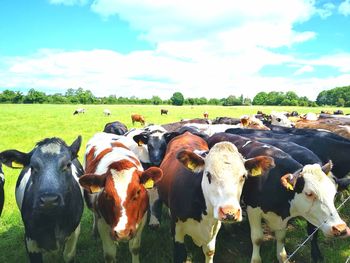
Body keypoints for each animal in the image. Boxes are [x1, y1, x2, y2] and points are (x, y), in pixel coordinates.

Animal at [79, 134, 163, 263]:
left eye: (137, 192)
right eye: (107, 194)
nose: (122, 232)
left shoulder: (141, 220)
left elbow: (135, 248)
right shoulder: (103, 224)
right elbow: (109, 254)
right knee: (94, 214)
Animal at [156, 132, 274, 263]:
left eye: (243, 176)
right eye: (208, 174)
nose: (229, 212)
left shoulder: (214, 229)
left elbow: (209, 251)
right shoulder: (177, 230)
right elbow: (180, 255)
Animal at [208, 133, 350, 263]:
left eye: (333, 194)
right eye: (309, 194)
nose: (341, 228)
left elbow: (282, 238)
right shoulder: (253, 209)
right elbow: (257, 238)